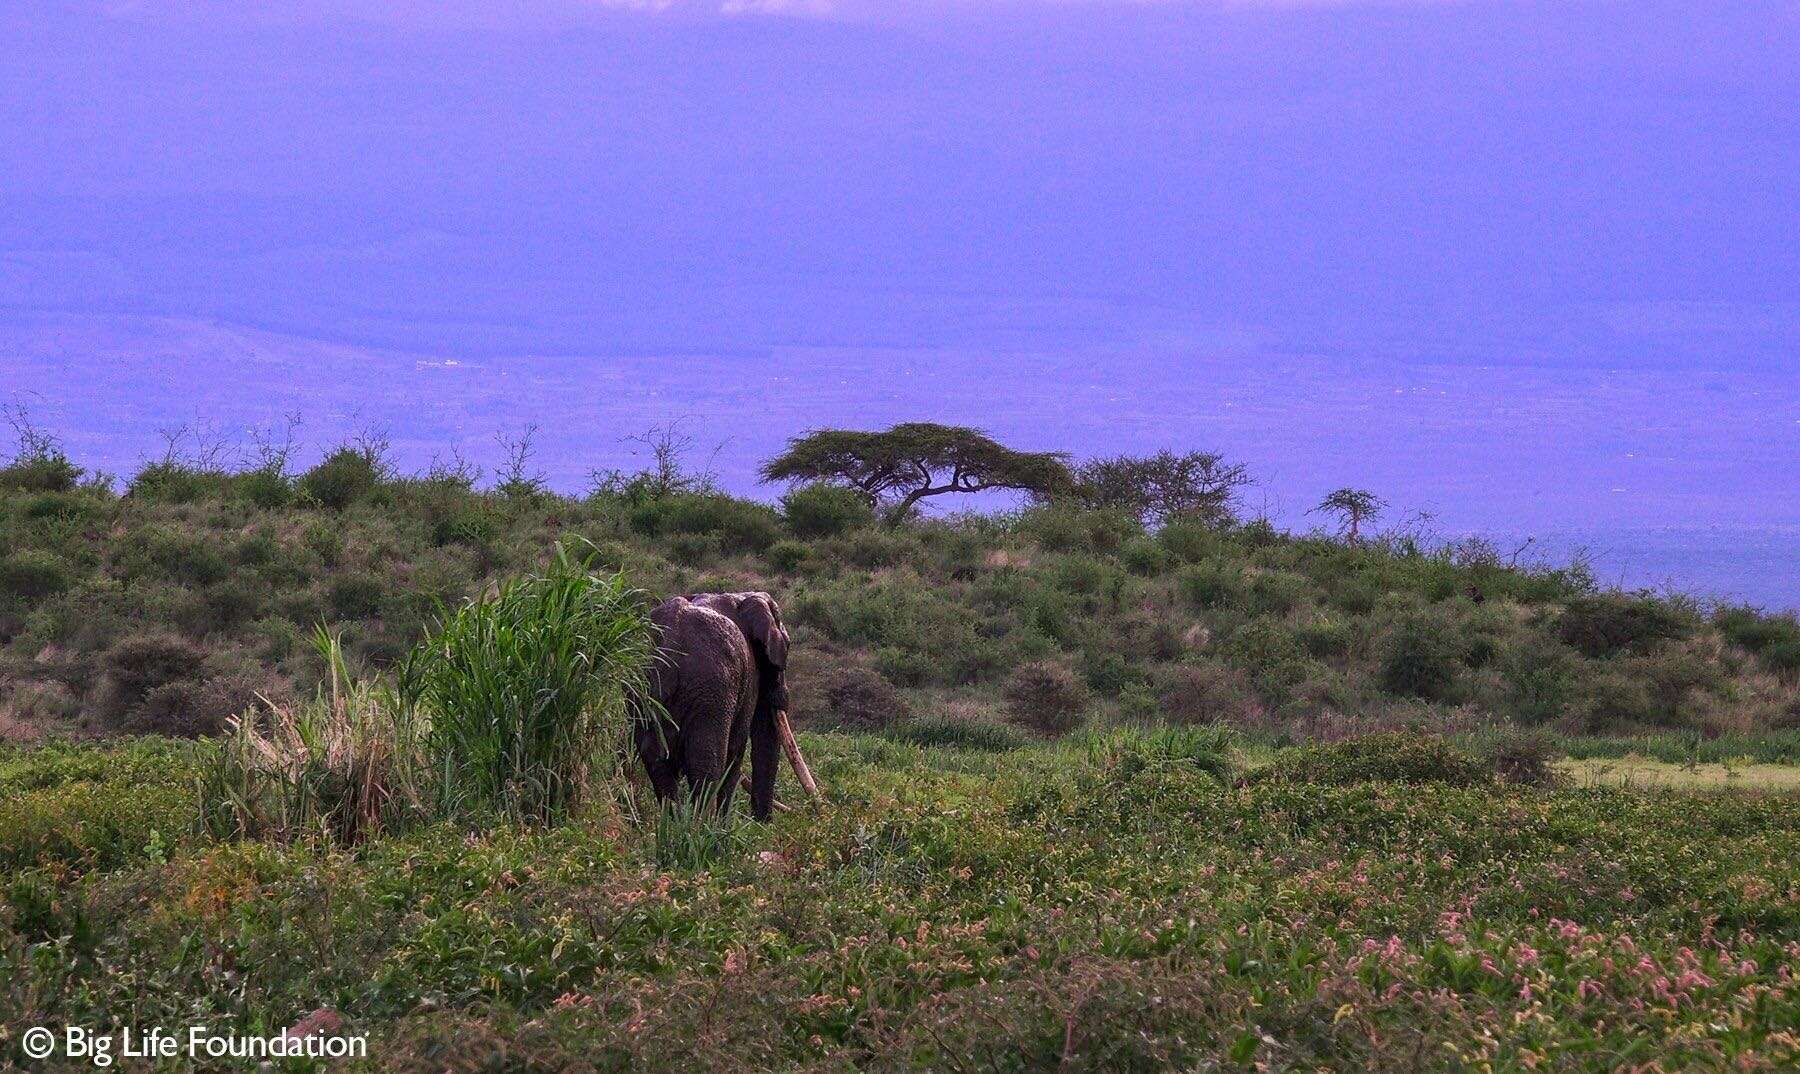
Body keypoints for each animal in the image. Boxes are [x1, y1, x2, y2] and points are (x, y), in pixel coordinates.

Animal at [626, 590, 810, 816]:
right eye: (787, 645)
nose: (763, 822)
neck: (741, 596)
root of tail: (668, 646)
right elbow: (737, 750)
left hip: (642, 689)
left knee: (656, 761)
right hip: (710, 693)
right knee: (707, 764)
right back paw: (700, 825)